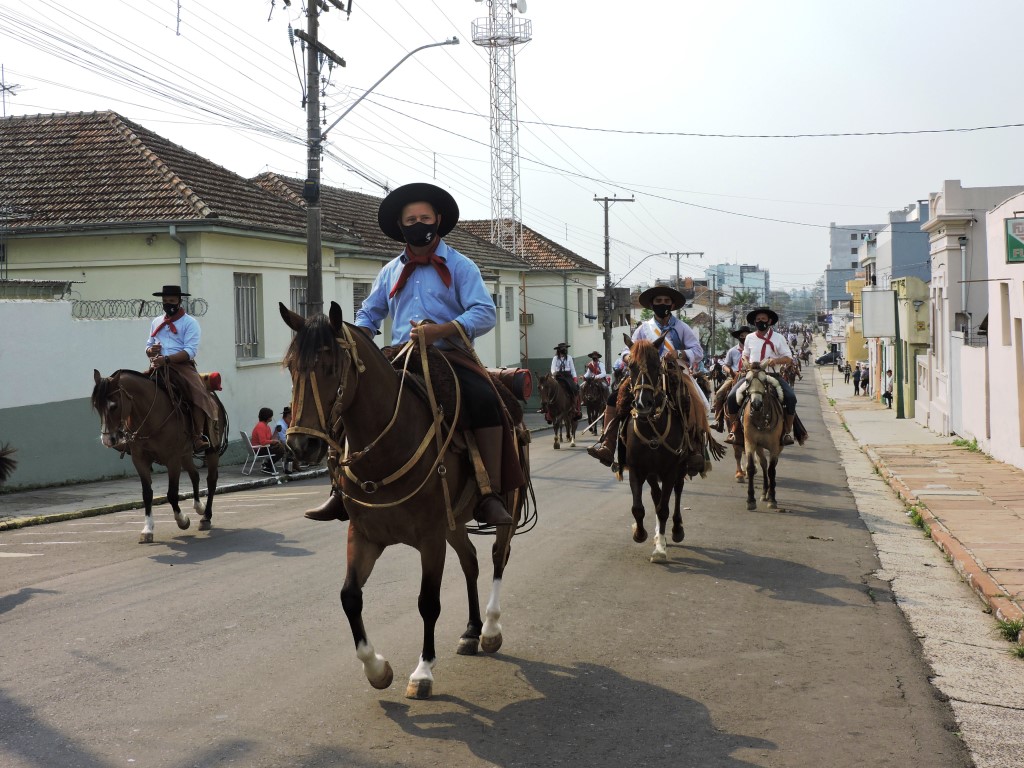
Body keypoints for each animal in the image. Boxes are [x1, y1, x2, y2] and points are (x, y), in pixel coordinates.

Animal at [90, 370, 224, 544]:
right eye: (97, 406)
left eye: (114, 406)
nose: (107, 440)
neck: (150, 416)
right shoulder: (140, 460)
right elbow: (147, 494)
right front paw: (147, 529)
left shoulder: (172, 459)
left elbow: (172, 494)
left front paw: (182, 520)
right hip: (185, 454)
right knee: (194, 475)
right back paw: (199, 507)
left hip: (211, 450)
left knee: (211, 480)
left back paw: (206, 517)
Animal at [278, 303, 528, 700]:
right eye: (291, 366)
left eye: (330, 365)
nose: (302, 445)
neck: (388, 448)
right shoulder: (365, 535)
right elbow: (350, 597)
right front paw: (377, 669)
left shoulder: (430, 538)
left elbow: (428, 602)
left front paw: (423, 672)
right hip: (454, 521)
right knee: (471, 561)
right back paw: (471, 631)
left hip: (508, 505)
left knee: (497, 557)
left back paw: (489, 629)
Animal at [737, 366, 782, 512]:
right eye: (747, 380)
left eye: (765, 380)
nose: (756, 404)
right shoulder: (750, 442)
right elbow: (751, 468)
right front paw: (751, 499)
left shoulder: (775, 445)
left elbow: (772, 470)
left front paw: (772, 499)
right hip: (759, 446)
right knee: (763, 463)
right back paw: (764, 492)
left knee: (771, 465)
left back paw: (769, 492)